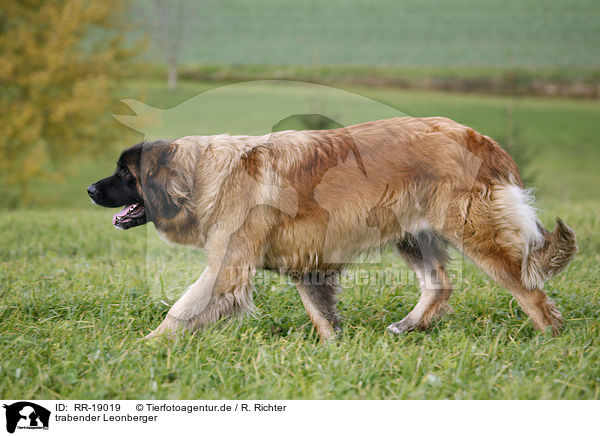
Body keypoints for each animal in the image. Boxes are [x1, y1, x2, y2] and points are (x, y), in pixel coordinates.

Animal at [85, 116, 576, 340]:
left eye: (125, 174)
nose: (89, 189)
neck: (205, 176)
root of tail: (481, 138)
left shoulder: (228, 269)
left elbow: (182, 309)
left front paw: (147, 345)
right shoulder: (307, 264)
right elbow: (321, 314)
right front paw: (334, 350)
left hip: (478, 235)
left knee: (530, 291)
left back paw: (549, 338)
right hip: (411, 234)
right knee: (439, 285)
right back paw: (407, 326)